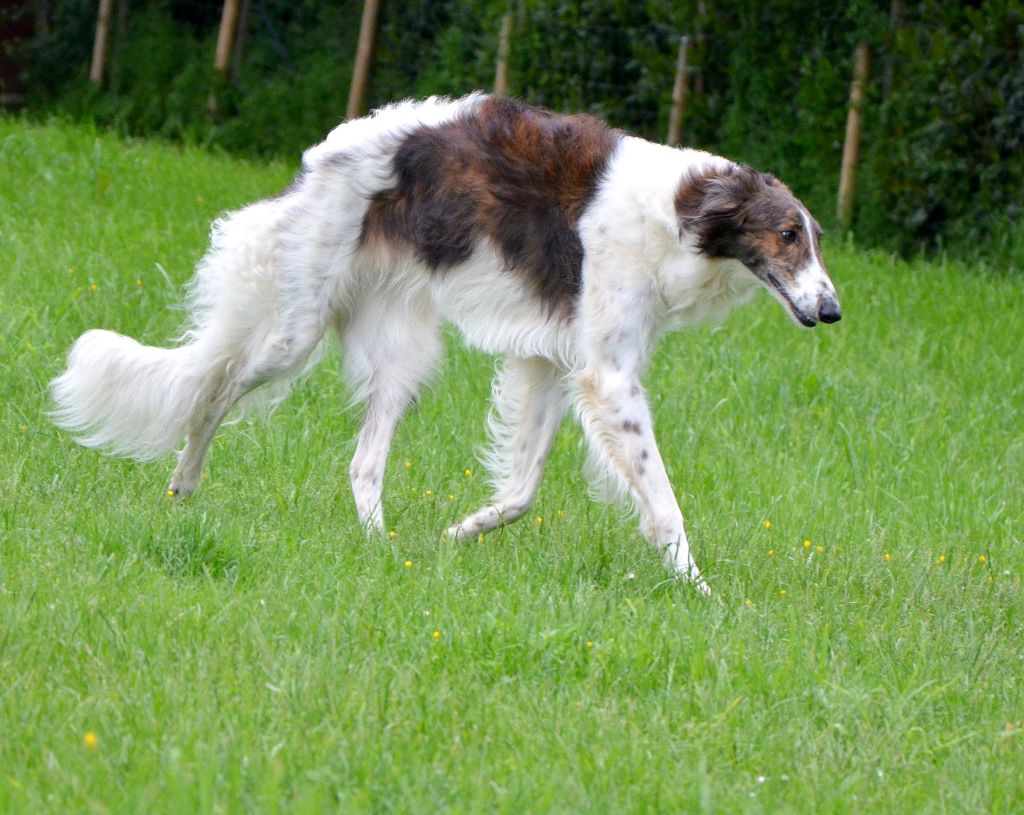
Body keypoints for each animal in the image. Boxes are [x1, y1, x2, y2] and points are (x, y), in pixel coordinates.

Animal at [49, 95, 839, 589]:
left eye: (817, 238)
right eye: (786, 234)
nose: (831, 310)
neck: (679, 208)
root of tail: (319, 159)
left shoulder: (554, 361)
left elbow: (520, 491)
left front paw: (462, 532)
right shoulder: (608, 376)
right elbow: (665, 505)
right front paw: (701, 591)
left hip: (402, 357)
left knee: (363, 463)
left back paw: (382, 547)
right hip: (292, 331)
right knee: (212, 391)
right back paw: (183, 483)